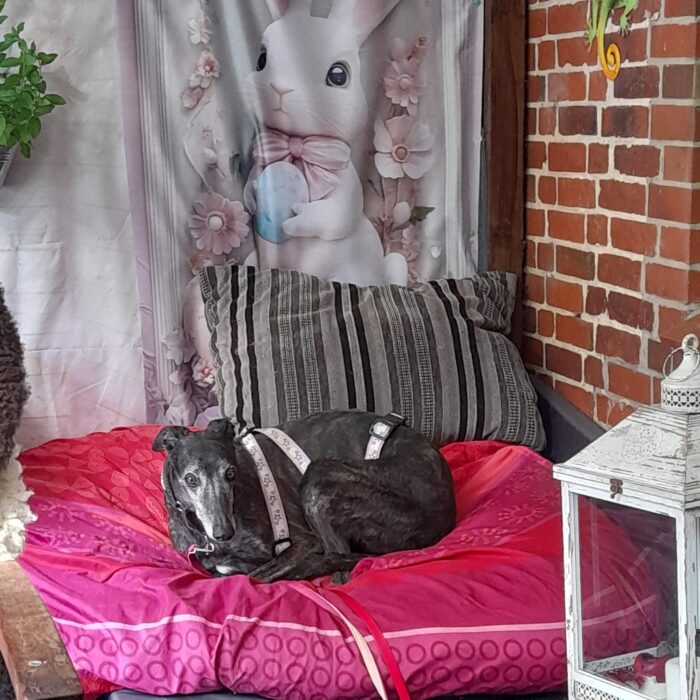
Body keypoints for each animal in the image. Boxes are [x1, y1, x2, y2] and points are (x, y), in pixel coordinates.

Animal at [153, 410, 456, 582]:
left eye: (230, 473)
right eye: (191, 479)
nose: (224, 533)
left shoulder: (304, 544)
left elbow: (253, 578)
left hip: (319, 477)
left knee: (341, 565)